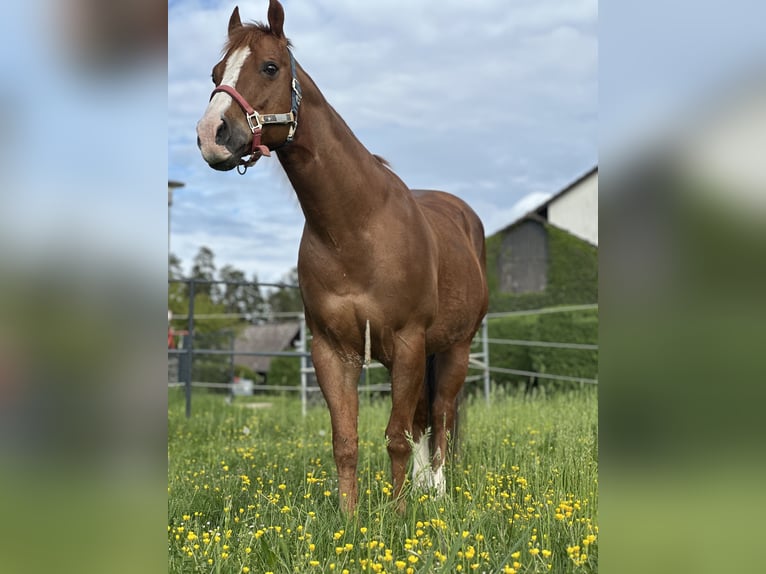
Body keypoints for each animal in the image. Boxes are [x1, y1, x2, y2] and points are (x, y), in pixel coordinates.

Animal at [196, 1, 488, 514]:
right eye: (216, 72)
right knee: (422, 418)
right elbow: (346, 440)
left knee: (441, 416)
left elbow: (395, 437)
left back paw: (435, 493)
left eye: (269, 67)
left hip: (454, 348)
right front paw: (351, 519)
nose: (212, 134)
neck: (356, 228)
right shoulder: (331, 351)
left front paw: (397, 517)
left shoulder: (408, 343)